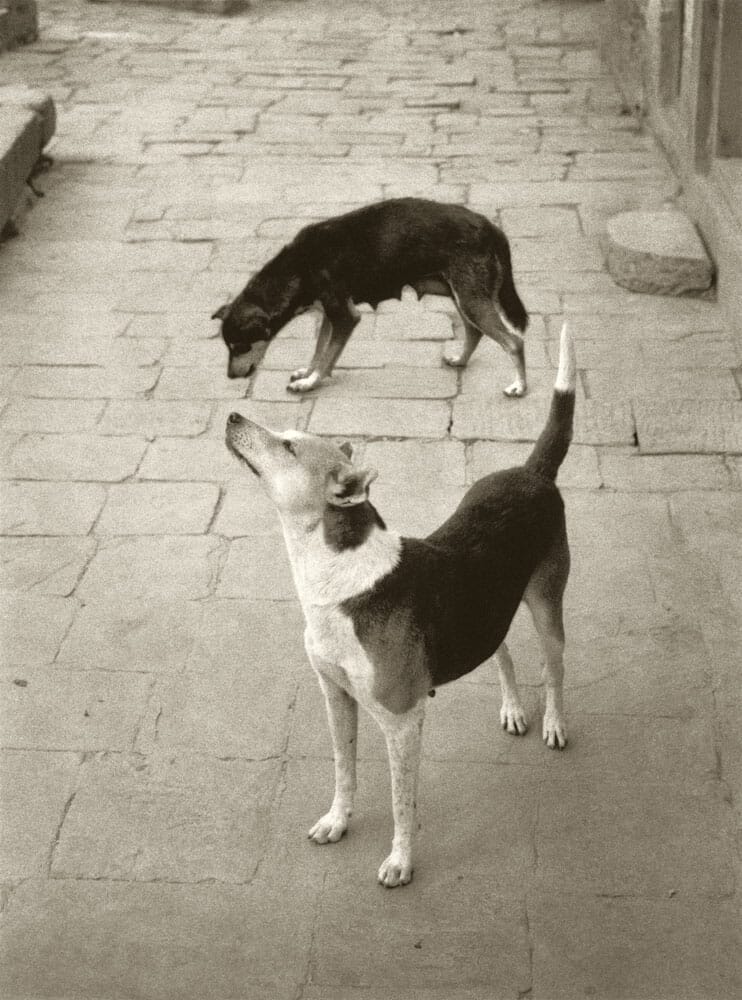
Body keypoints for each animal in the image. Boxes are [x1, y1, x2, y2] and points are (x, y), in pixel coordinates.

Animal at [212, 193, 532, 396]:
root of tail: (490, 226)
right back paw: (461, 360)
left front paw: (311, 383)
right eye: (228, 347)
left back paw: (519, 387)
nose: (229, 377)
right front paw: (308, 373)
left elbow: (328, 356)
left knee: (513, 341)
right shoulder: (330, 314)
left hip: (471, 298)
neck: (299, 265)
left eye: (240, 346)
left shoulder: (345, 316)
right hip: (460, 296)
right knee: (474, 331)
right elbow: (319, 349)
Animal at [227, 324, 580, 888]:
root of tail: (532, 472)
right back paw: (512, 710)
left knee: (554, 671)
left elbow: (401, 803)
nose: (233, 416)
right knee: (501, 652)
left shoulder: (402, 720)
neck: (339, 578)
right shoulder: (335, 695)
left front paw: (400, 862)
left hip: (547, 607)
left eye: (287, 446)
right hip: (487, 611)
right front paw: (337, 821)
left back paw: (553, 724)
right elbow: (343, 769)